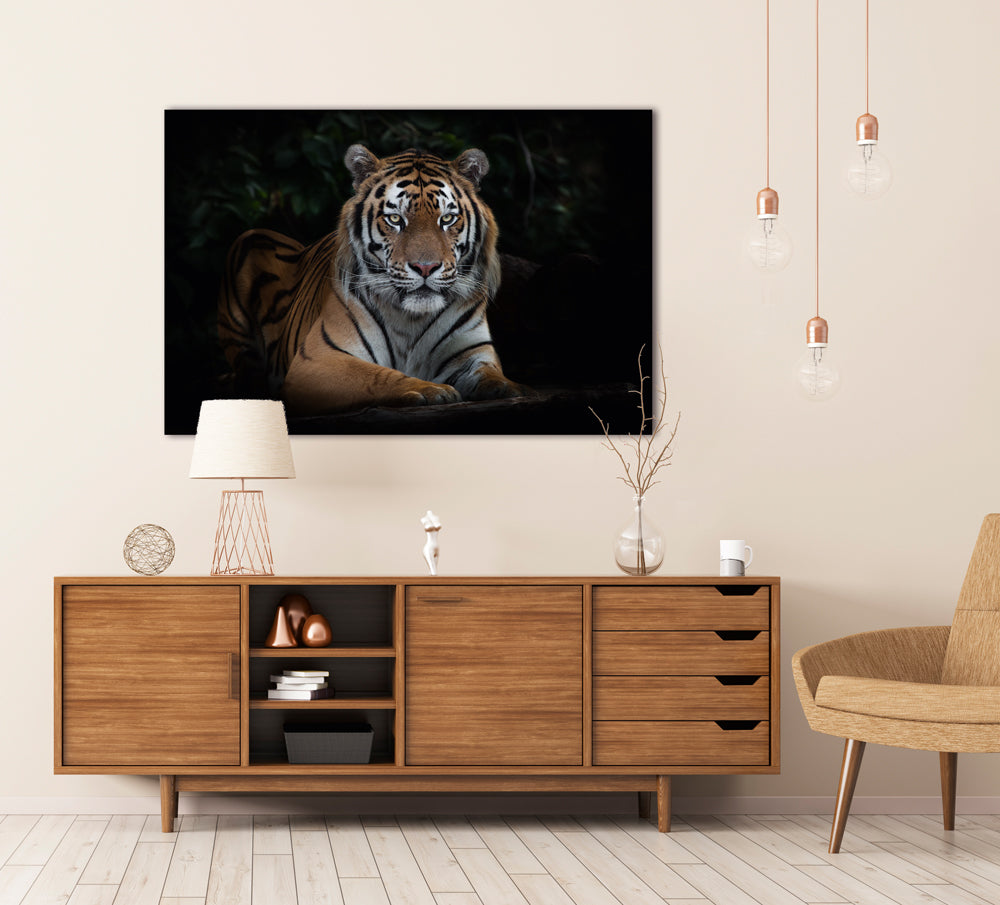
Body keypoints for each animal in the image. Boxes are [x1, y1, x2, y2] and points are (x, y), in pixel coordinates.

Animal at [217, 143, 526, 416]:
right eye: (395, 219)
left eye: (447, 219)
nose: (425, 267)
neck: (413, 319)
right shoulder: (318, 360)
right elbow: (378, 376)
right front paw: (431, 390)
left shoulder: (474, 355)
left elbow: (492, 376)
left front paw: (512, 388)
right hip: (250, 239)